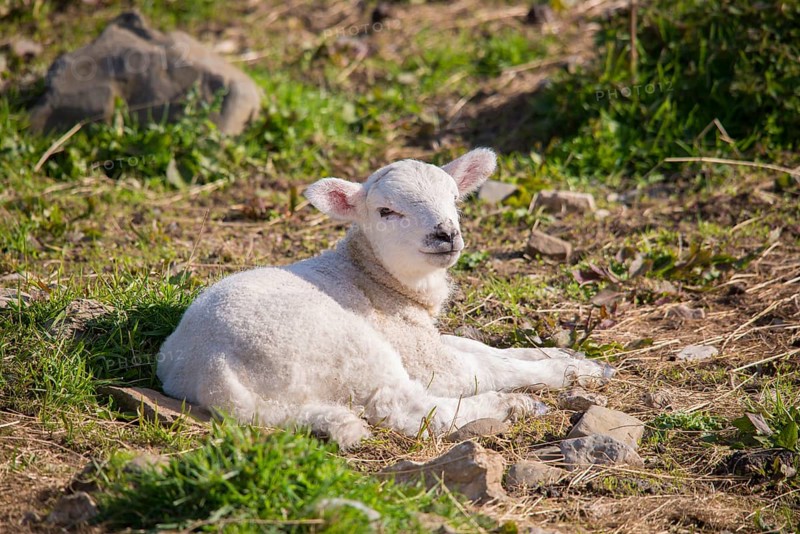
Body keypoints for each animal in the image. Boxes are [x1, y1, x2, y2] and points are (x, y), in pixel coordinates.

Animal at [157, 148, 613, 448]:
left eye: (454, 199)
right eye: (386, 212)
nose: (446, 234)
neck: (373, 276)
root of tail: (212, 372)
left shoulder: (421, 338)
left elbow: (486, 349)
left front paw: (575, 360)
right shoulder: (420, 354)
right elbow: (485, 368)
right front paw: (566, 373)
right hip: (342, 348)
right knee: (407, 408)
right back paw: (511, 407)